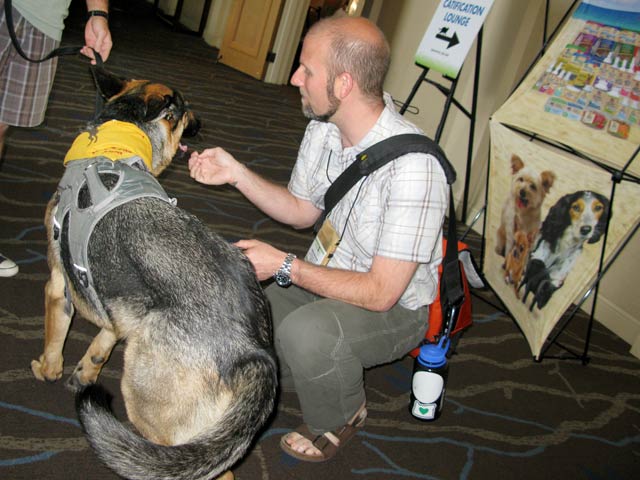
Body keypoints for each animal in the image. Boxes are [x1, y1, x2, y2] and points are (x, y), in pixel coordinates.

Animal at [30, 67, 276, 480]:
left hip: (151, 410)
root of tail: (251, 350)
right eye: (188, 111)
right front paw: (83, 375)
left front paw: (46, 371)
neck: (116, 143)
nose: (201, 121)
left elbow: (54, 343)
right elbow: (100, 348)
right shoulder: (119, 311)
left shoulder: (57, 287)